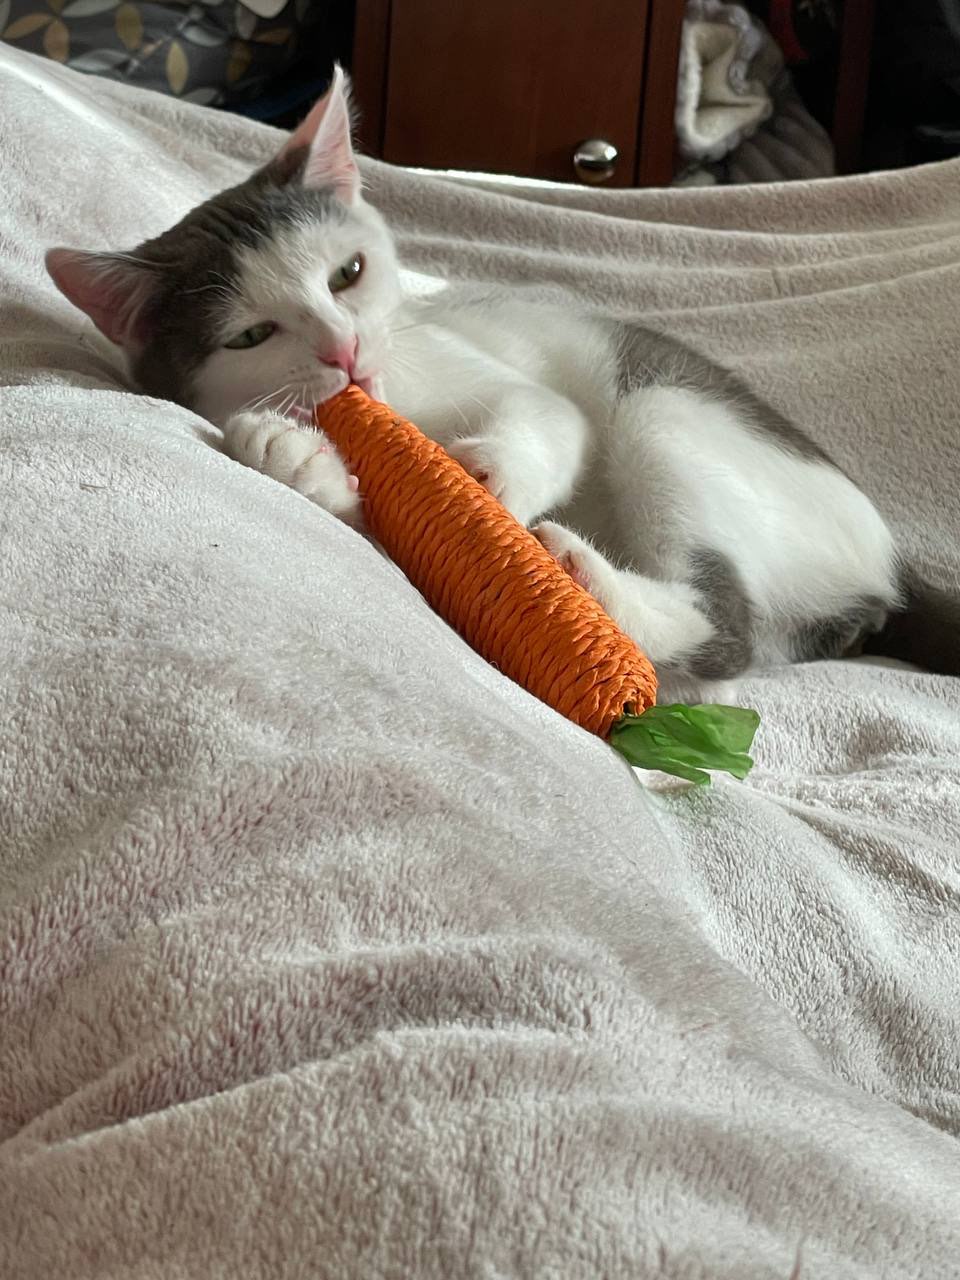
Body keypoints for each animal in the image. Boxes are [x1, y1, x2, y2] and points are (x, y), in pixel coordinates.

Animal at [45, 67, 960, 701]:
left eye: (347, 274)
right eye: (251, 336)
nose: (344, 352)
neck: (395, 395)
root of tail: (891, 564)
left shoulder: (474, 362)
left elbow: (547, 416)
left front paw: (492, 476)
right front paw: (287, 453)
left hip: (665, 407)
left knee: (729, 628)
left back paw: (590, 579)